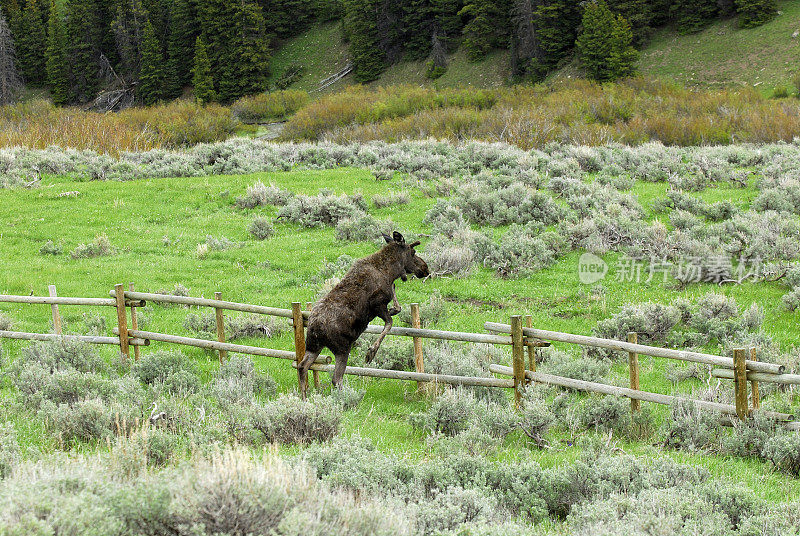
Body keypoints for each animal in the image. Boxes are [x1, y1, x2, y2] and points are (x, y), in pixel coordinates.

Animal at [296, 231, 428, 398]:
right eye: (413, 252)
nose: (425, 268)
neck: (390, 271)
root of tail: (315, 328)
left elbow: (396, 304)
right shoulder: (377, 304)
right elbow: (389, 323)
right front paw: (371, 352)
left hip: (314, 346)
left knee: (302, 366)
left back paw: (304, 398)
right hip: (342, 348)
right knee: (336, 378)